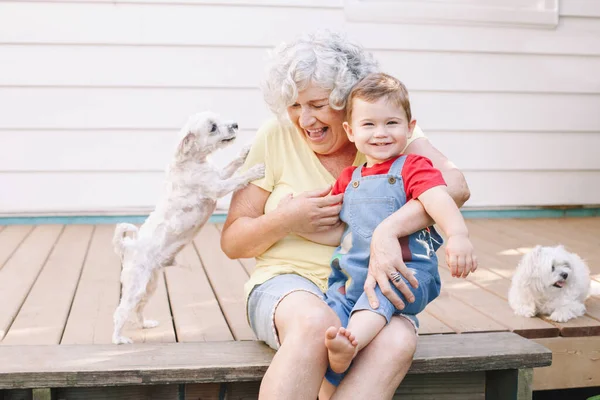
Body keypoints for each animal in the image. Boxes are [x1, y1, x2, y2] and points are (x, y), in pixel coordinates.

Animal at [110, 111, 264, 344]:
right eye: (212, 127)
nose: (236, 124)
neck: (193, 163)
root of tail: (128, 247)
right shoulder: (217, 187)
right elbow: (238, 178)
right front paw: (255, 170)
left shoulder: (218, 176)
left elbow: (231, 165)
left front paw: (245, 151)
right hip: (135, 287)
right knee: (121, 312)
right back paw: (119, 339)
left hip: (150, 286)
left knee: (138, 309)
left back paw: (145, 324)